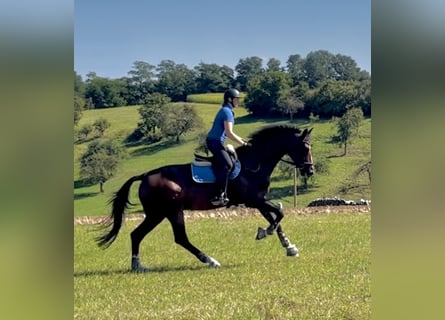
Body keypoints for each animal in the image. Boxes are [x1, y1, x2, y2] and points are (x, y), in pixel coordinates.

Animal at [96, 125, 314, 272]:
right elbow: (279, 213)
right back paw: (210, 260)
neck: (255, 162)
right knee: (180, 238)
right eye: (305, 148)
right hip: (171, 211)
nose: (310, 171)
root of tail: (146, 175)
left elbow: (276, 218)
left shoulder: (259, 200)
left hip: (156, 214)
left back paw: (138, 266)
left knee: (137, 234)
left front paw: (289, 246)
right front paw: (264, 233)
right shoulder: (254, 200)